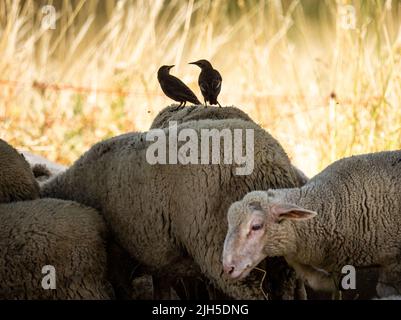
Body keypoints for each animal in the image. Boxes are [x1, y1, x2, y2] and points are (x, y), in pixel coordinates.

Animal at [41, 117, 304, 300]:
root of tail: (270, 164)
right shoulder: (160, 260)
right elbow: (161, 288)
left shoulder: (118, 254)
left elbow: (126, 291)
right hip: (281, 258)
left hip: (226, 253)